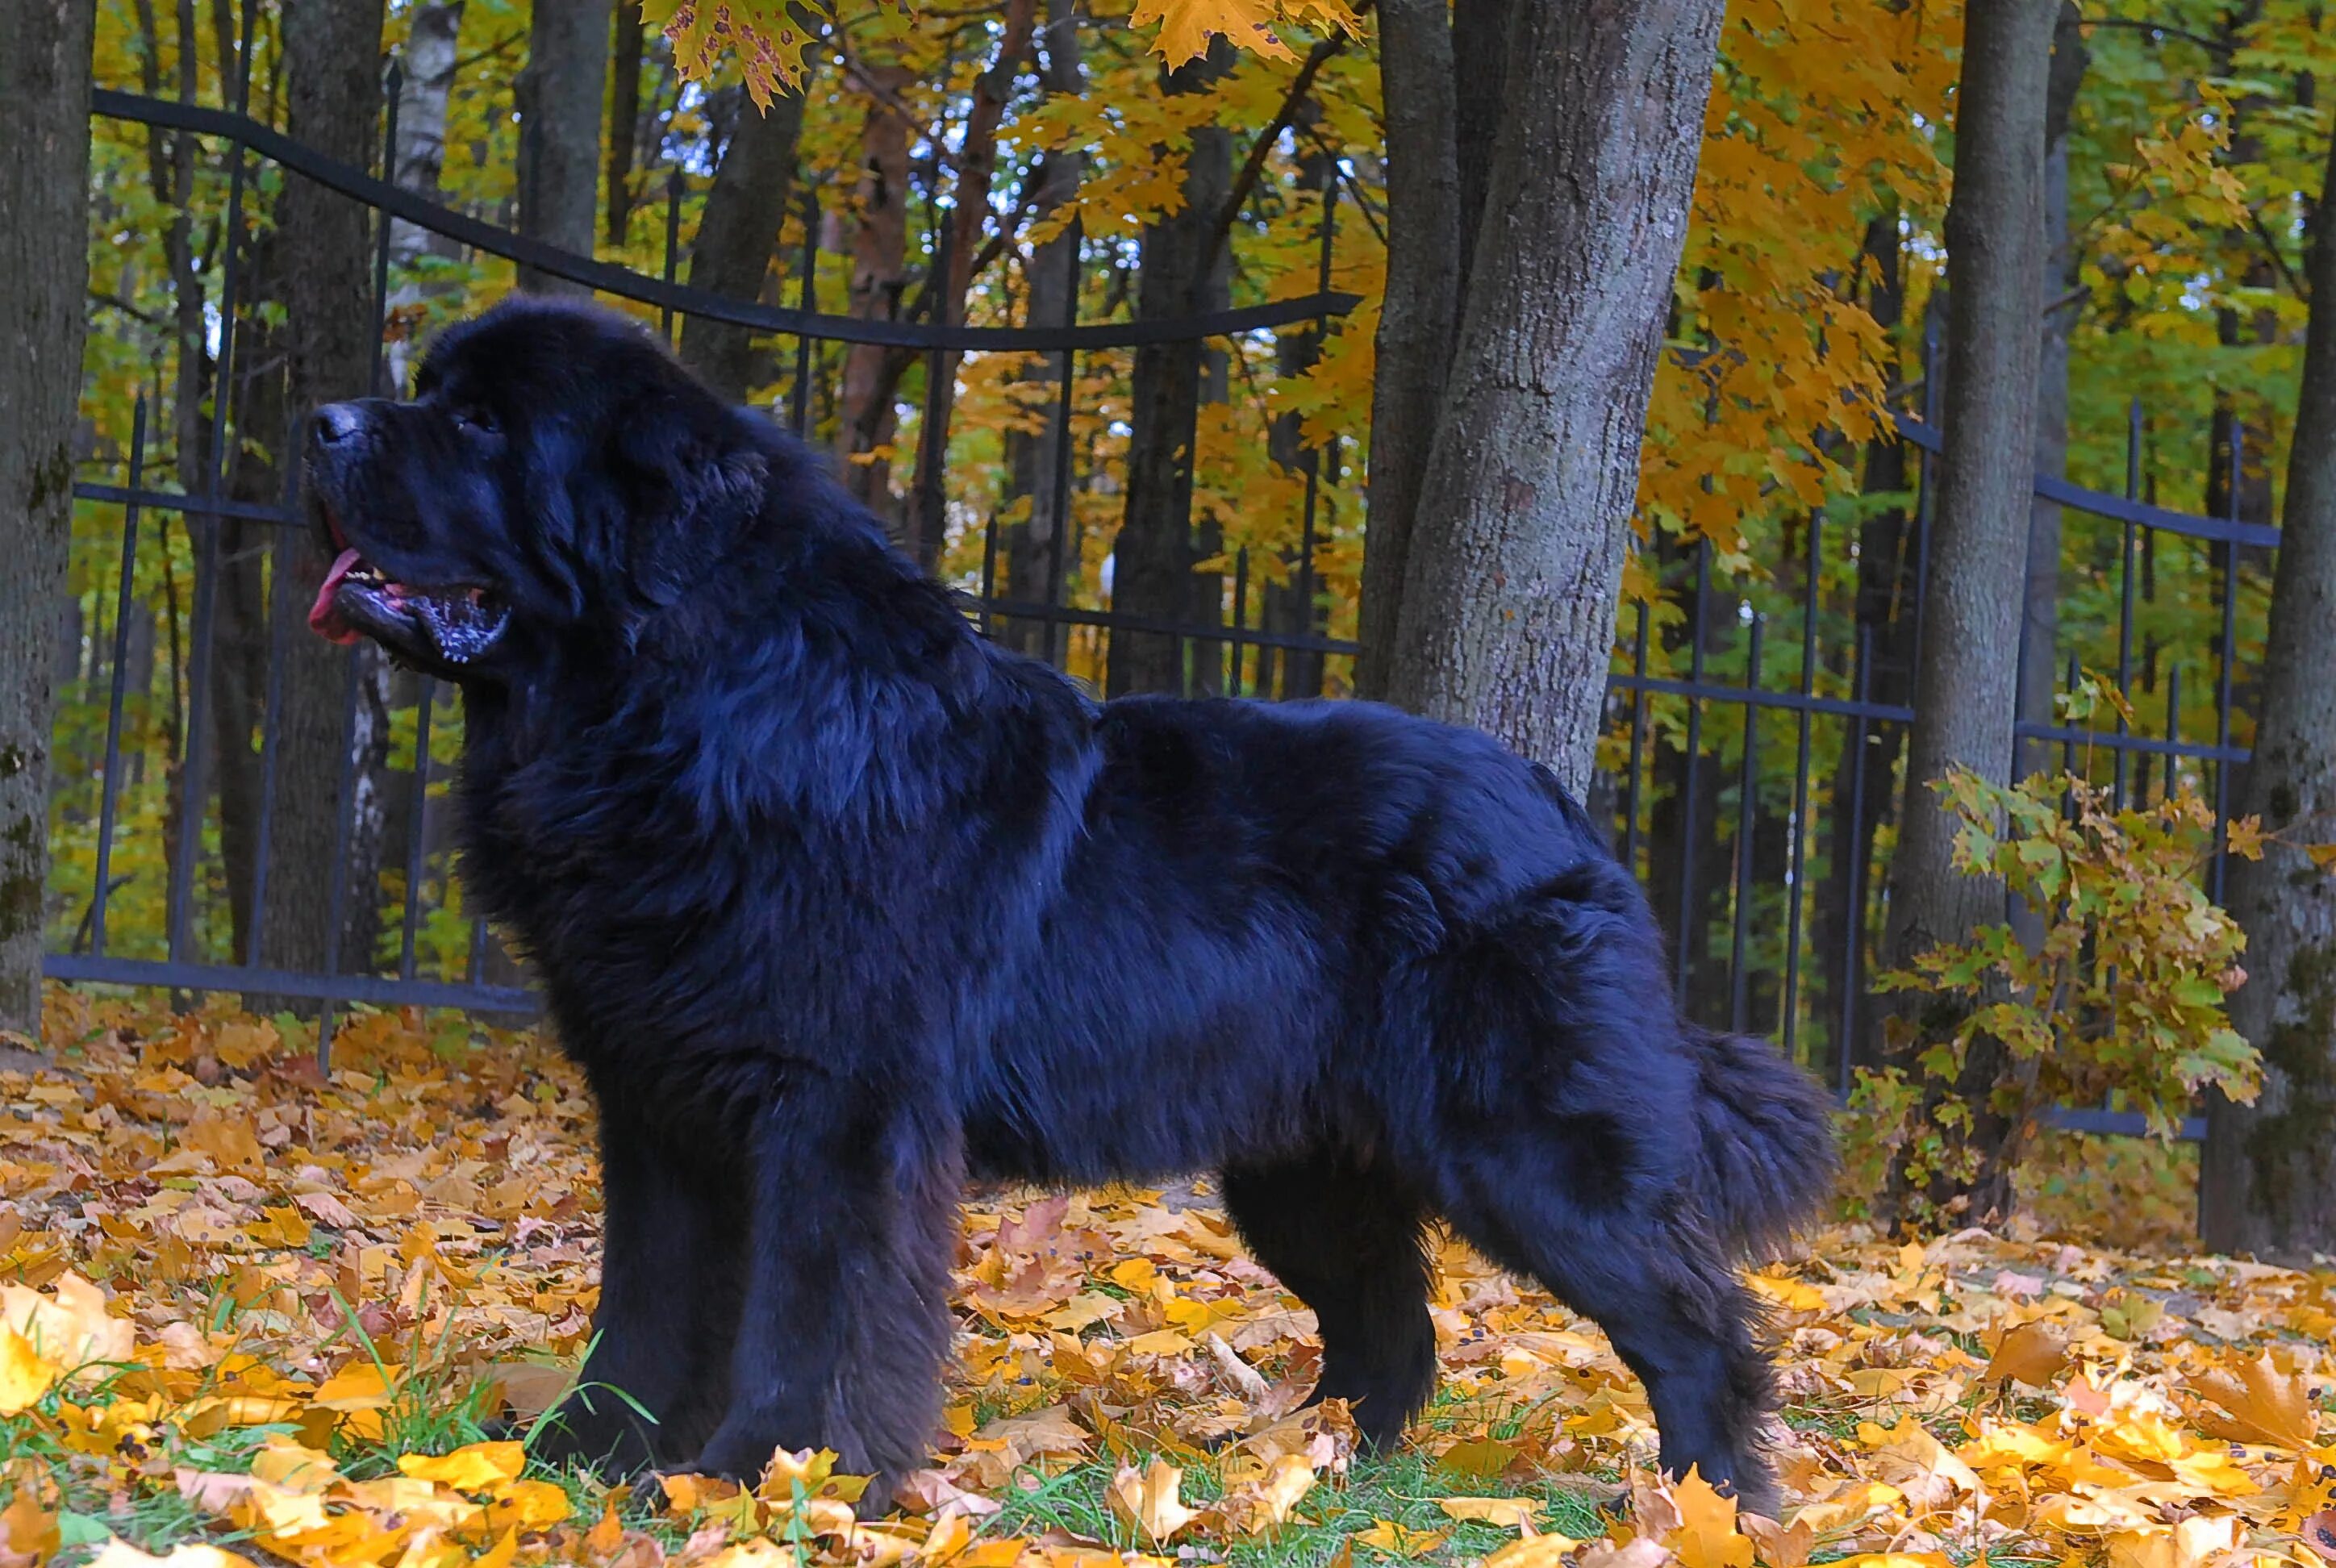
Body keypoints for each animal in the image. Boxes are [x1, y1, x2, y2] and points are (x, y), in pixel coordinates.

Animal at [311, 294, 1831, 1504]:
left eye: (478, 426)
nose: (321, 418)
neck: (692, 705)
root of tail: (1560, 805)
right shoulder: (659, 1097)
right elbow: (648, 1303)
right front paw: (573, 1463)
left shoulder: (839, 1109)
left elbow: (812, 1310)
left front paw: (772, 1475)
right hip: (1299, 1166)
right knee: (1393, 1322)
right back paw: (1305, 1473)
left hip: (1530, 1144)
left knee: (1690, 1316)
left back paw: (1709, 1501)